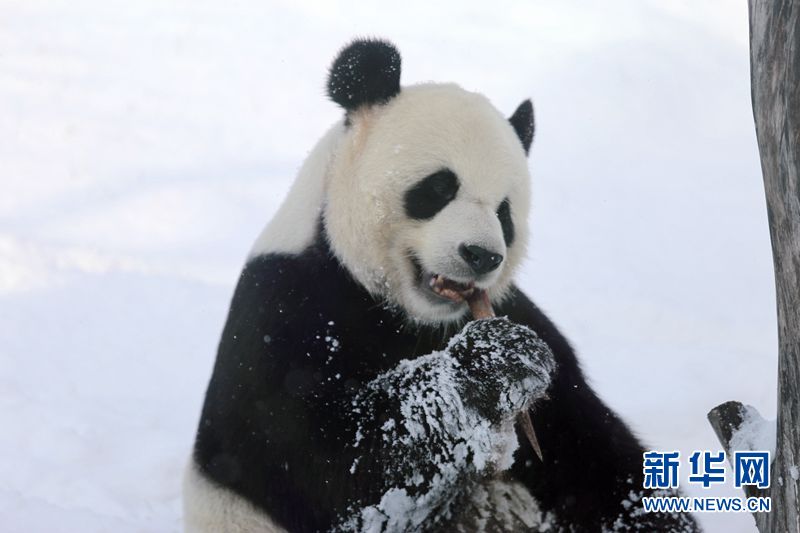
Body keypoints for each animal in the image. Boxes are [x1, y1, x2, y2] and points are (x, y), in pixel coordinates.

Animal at [185, 39, 699, 532]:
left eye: (504, 213)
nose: (483, 256)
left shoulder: (530, 328)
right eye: (438, 188)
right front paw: (492, 364)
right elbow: (336, 474)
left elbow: (594, 459)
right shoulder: (282, 313)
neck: (411, 316)